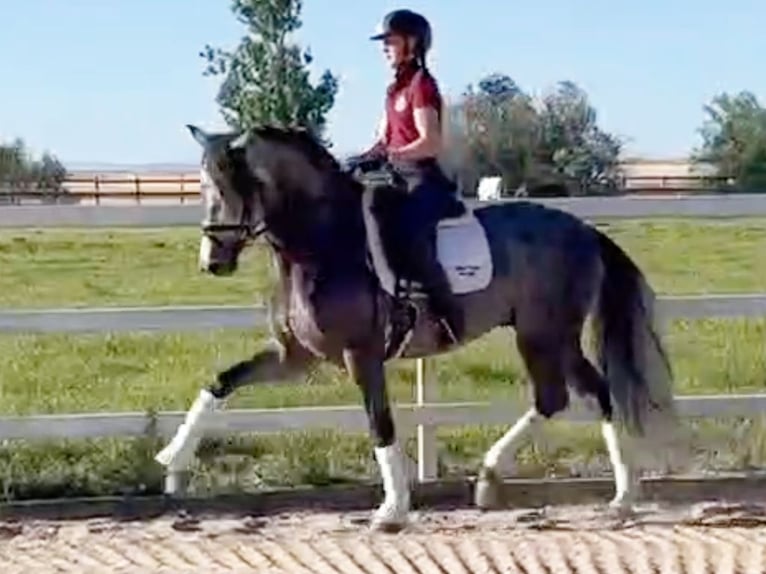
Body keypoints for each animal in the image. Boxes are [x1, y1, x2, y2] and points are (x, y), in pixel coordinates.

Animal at [154, 125, 680, 536]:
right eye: (202, 186)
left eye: (235, 185)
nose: (213, 262)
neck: (323, 243)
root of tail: (585, 231)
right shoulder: (295, 356)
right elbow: (221, 382)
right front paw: (173, 464)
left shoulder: (360, 354)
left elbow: (380, 424)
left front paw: (392, 510)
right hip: (553, 335)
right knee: (590, 393)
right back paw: (608, 496)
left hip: (543, 332)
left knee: (559, 397)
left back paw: (514, 480)